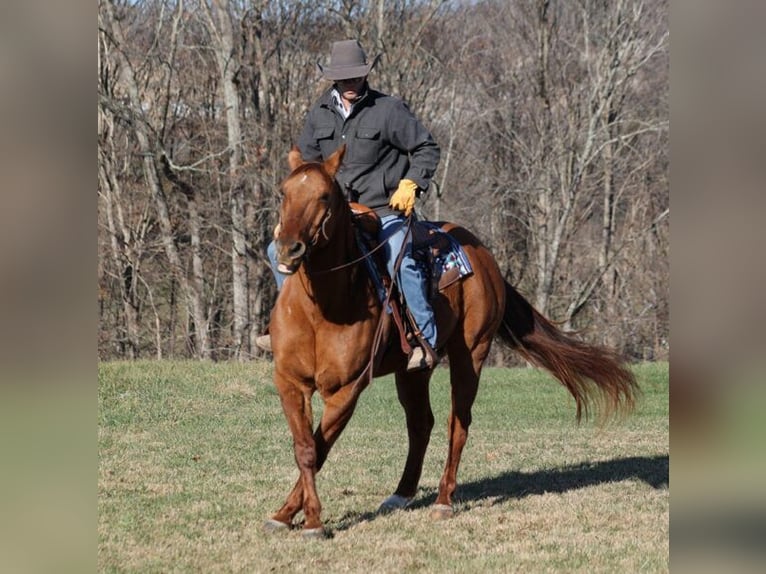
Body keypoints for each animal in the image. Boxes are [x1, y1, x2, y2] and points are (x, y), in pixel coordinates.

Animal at [268, 145, 640, 540]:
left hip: (470, 355)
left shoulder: (347, 389)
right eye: (284, 192)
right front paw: (285, 514)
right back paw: (401, 494)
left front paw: (312, 520)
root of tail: (486, 259)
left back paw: (444, 500)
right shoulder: (289, 383)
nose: (289, 249)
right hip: (413, 371)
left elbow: (319, 448)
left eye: (324, 195)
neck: (321, 310)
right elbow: (305, 448)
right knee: (421, 423)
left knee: (456, 424)